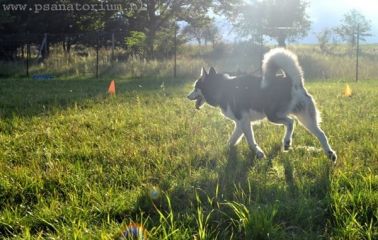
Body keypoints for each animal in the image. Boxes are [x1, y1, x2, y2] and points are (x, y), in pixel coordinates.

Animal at [188, 48, 338, 162]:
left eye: (196, 87)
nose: (187, 96)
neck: (222, 88)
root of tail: (291, 81)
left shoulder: (244, 121)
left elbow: (250, 141)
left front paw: (259, 153)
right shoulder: (241, 123)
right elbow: (232, 139)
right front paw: (226, 149)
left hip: (272, 115)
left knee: (291, 122)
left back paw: (287, 142)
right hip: (306, 118)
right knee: (321, 134)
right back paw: (330, 154)